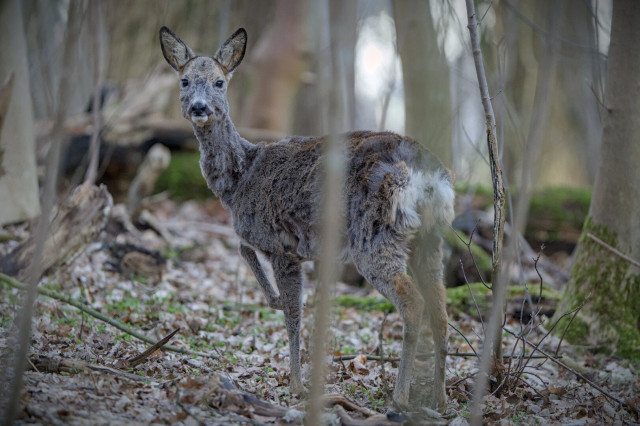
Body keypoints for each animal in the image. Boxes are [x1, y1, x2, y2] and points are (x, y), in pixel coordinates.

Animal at [159, 26, 454, 411]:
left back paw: (400, 398)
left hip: (376, 232)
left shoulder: (281, 245)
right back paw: (439, 399)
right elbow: (247, 252)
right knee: (441, 309)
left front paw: (297, 386)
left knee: (413, 302)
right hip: (429, 238)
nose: (199, 107)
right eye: (184, 80)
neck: (239, 179)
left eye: (219, 82)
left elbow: (292, 313)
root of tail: (429, 174)